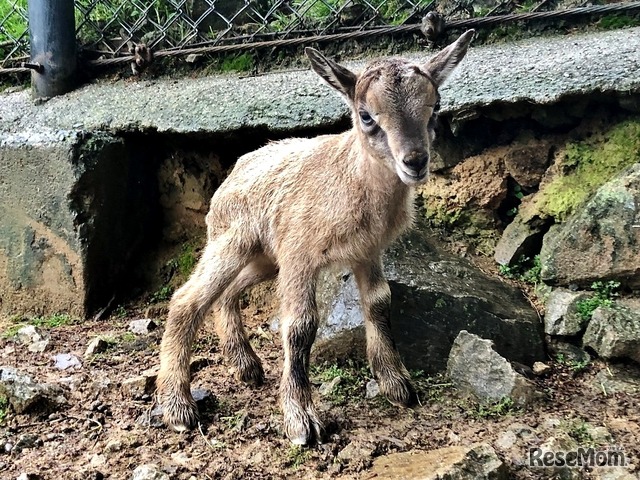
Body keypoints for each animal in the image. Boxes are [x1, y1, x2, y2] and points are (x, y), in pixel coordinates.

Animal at [157, 30, 472, 444]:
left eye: (435, 106)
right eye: (366, 115)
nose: (415, 162)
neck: (351, 178)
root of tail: (235, 171)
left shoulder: (367, 253)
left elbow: (379, 303)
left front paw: (396, 384)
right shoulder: (299, 254)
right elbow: (300, 326)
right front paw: (300, 419)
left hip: (263, 258)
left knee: (227, 294)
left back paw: (246, 365)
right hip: (233, 240)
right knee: (187, 299)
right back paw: (178, 405)